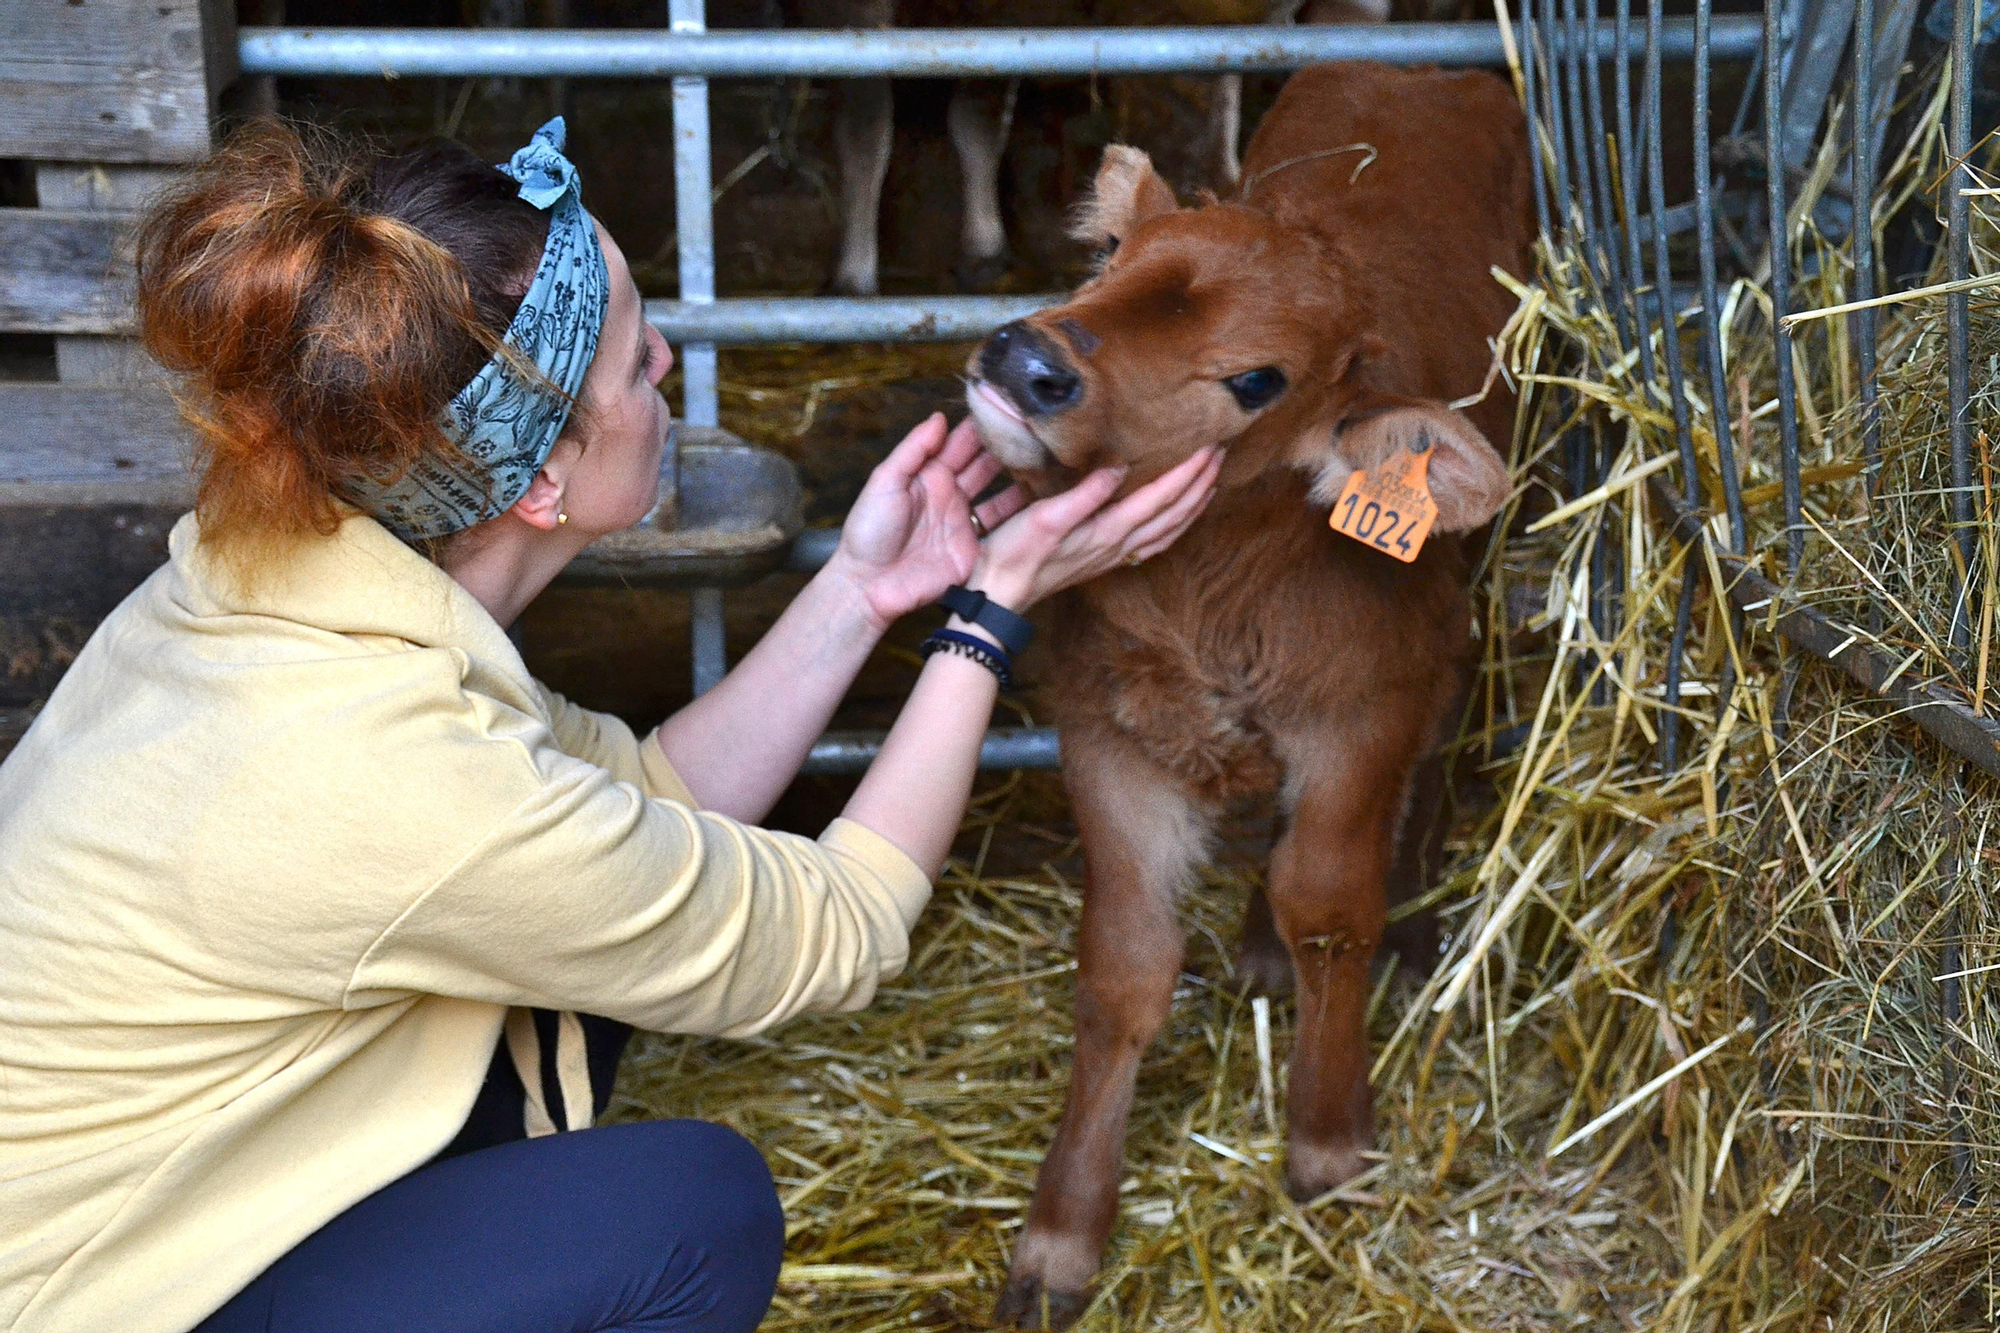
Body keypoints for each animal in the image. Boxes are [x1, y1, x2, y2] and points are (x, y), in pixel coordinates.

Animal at [960, 59, 1520, 1320]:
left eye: (1253, 380)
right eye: (1111, 258)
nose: (1026, 359)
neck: (1208, 587)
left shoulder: (1356, 712)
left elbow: (1329, 904)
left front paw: (1326, 1139)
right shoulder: (1106, 730)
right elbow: (1124, 964)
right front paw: (1061, 1235)